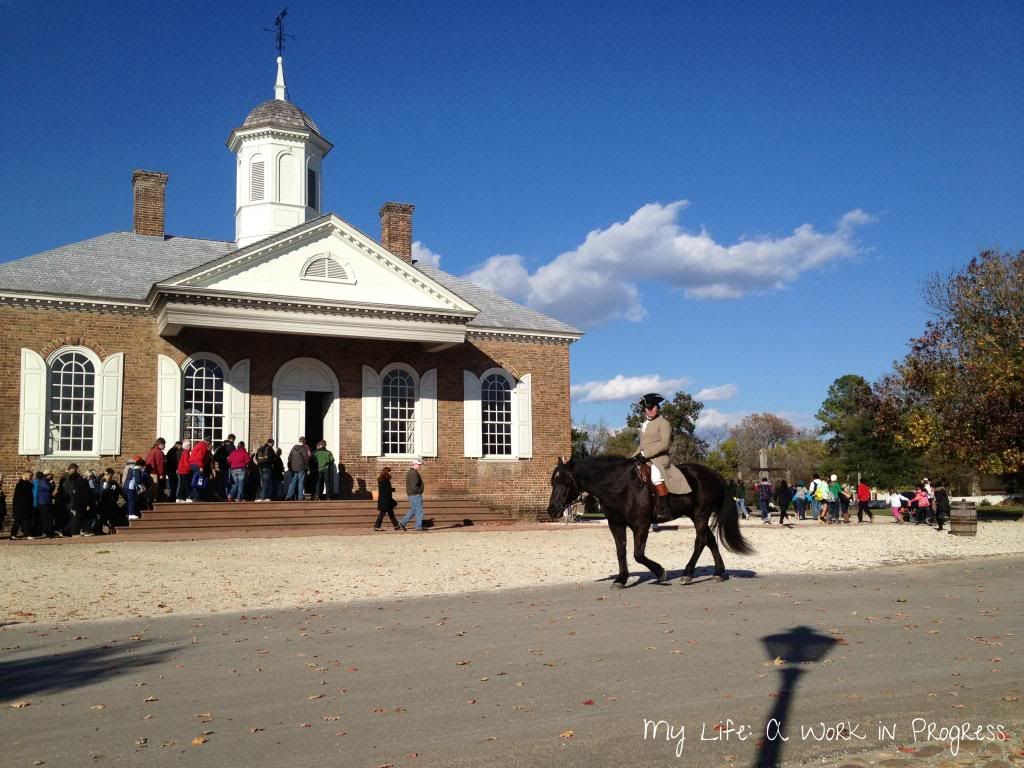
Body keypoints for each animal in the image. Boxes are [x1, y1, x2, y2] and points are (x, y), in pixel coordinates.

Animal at [544, 456, 753, 589]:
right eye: (553, 482)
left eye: (564, 481)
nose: (552, 510)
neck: (620, 485)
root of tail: (712, 473)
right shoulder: (616, 525)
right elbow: (621, 552)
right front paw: (621, 579)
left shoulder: (641, 525)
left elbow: (638, 554)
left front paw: (660, 572)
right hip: (695, 516)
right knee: (709, 540)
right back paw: (718, 572)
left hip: (701, 515)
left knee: (700, 541)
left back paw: (687, 573)